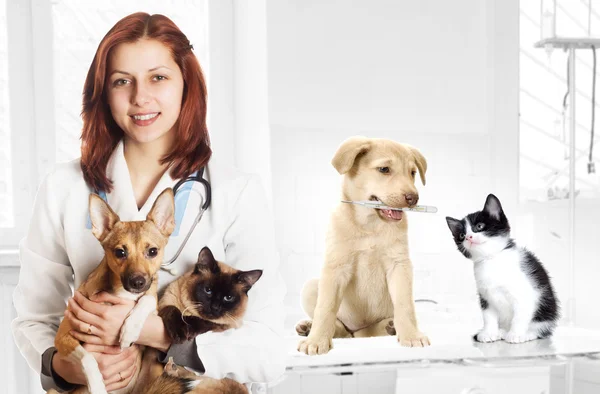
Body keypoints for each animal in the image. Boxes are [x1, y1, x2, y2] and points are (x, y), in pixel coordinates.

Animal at [296, 135, 428, 354]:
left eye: (412, 173)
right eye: (384, 169)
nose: (413, 198)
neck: (370, 225)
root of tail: (358, 332)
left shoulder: (399, 265)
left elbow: (405, 305)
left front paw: (411, 335)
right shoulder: (336, 267)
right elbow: (325, 308)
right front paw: (316, 340)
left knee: (373, 328)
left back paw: (390, 326)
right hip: (311, 287)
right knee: (340, 328)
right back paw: (309, 327)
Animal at [442, 195, 560, 344]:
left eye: (479, 226)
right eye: (462, 235)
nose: (469, 237)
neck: (491, 259)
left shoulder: (525, 293)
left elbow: (520, 316)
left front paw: (516, 334)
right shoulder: (485, 297)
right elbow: (488, 316)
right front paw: (488, 333)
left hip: (546, 308)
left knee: (541, 328)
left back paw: (527, 333)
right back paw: (502, 331)